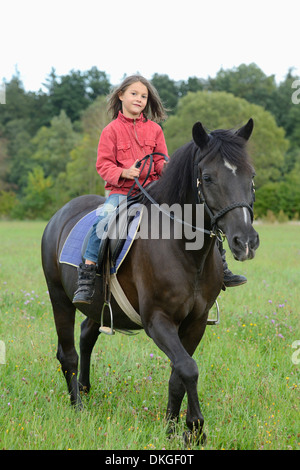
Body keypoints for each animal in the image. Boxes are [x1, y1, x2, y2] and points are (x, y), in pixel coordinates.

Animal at [41, 119, 258, 442]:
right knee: (68, 354)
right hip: (59, 299)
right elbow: (188, 368)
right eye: (207, 177)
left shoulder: (195, 322)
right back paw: (78, 407)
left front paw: (172, 427)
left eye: (251, 175)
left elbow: (178, 373)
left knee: (86, 335)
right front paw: (196, 427)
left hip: (98, 306)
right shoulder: (157, 320)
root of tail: (60, 216)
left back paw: (85, 389)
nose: (245, 241)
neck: (181, 248)